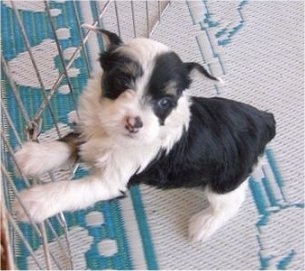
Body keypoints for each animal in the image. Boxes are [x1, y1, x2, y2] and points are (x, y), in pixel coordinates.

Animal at [14, 28, 276, 243]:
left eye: (164, 102)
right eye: (122, 81)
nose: (134, 123)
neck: (111, 135)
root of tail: (265, 120)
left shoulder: (111, 181)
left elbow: (72, 189)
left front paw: (33, 202)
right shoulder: (89, 131)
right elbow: (69, 144)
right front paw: (33, 156)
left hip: (225, 179)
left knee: (230, 202)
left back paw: (203, 225)